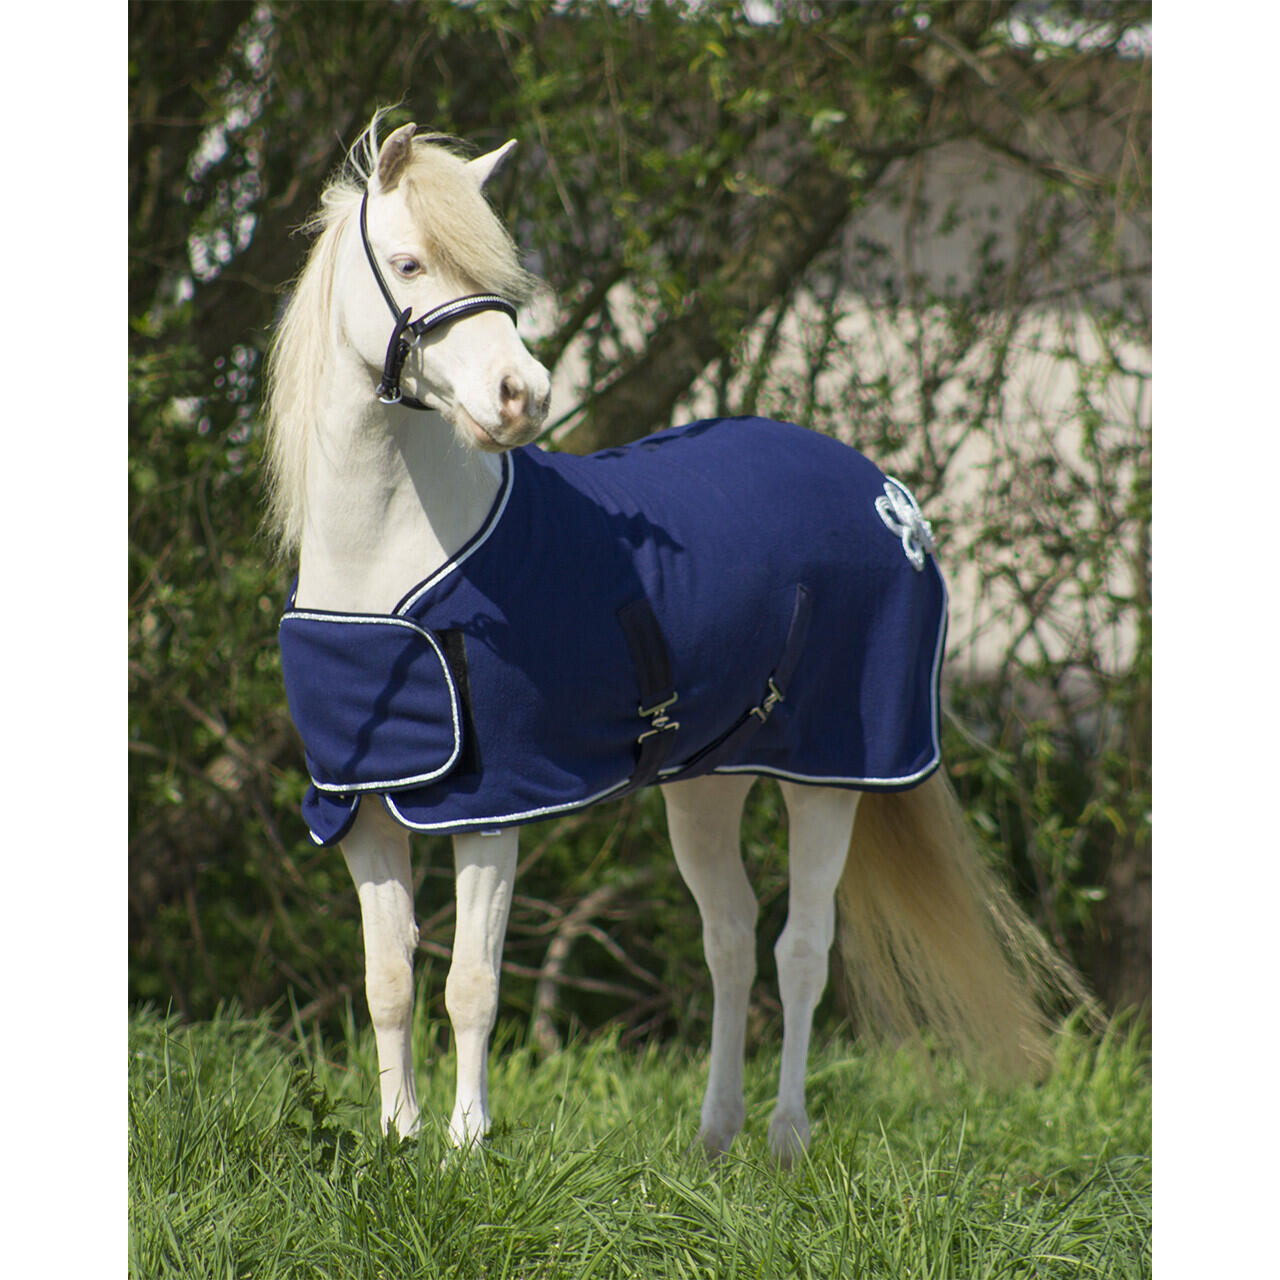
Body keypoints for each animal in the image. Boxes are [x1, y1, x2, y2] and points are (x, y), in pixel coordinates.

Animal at [262, 113, 1079, 1164]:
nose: (522, 394)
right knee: (729, 940)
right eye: (407, 263)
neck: (386, 572)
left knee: (802, 948)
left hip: (833, 774)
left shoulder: (490, 806)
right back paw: (713, 1137)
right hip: (707, 783)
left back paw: (784, 1139)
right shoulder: (362, 808)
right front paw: (399, 1141)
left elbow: (470, 983)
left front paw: (466, 1148)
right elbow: (389, 980)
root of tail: (891, 498)